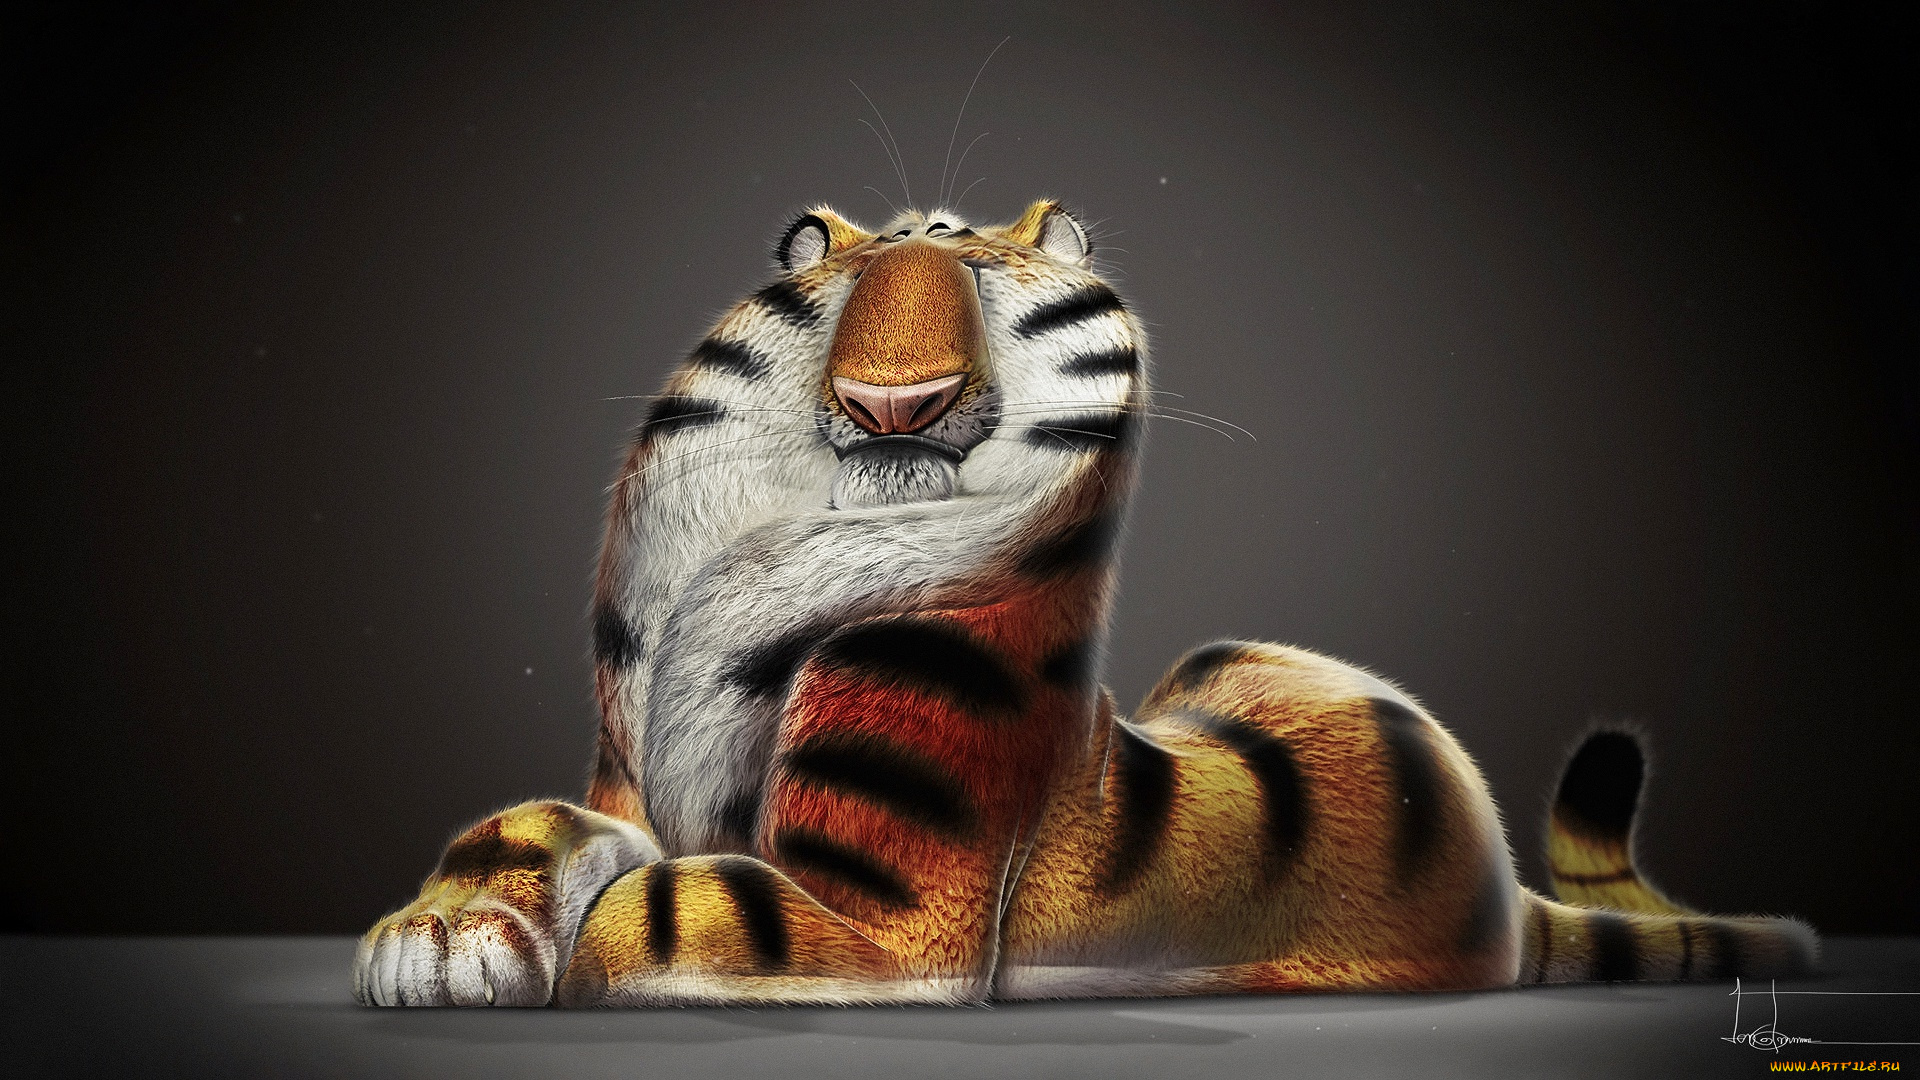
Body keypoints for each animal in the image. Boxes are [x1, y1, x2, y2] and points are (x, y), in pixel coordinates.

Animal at [354, 199, 1817, 1007]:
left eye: (982, 287)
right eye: (835, 280)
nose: (896, 406)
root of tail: (1503, 877)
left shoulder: (896, 925)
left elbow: (654, 906)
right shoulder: (623, 775)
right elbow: (539, 820)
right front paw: (436, 936)